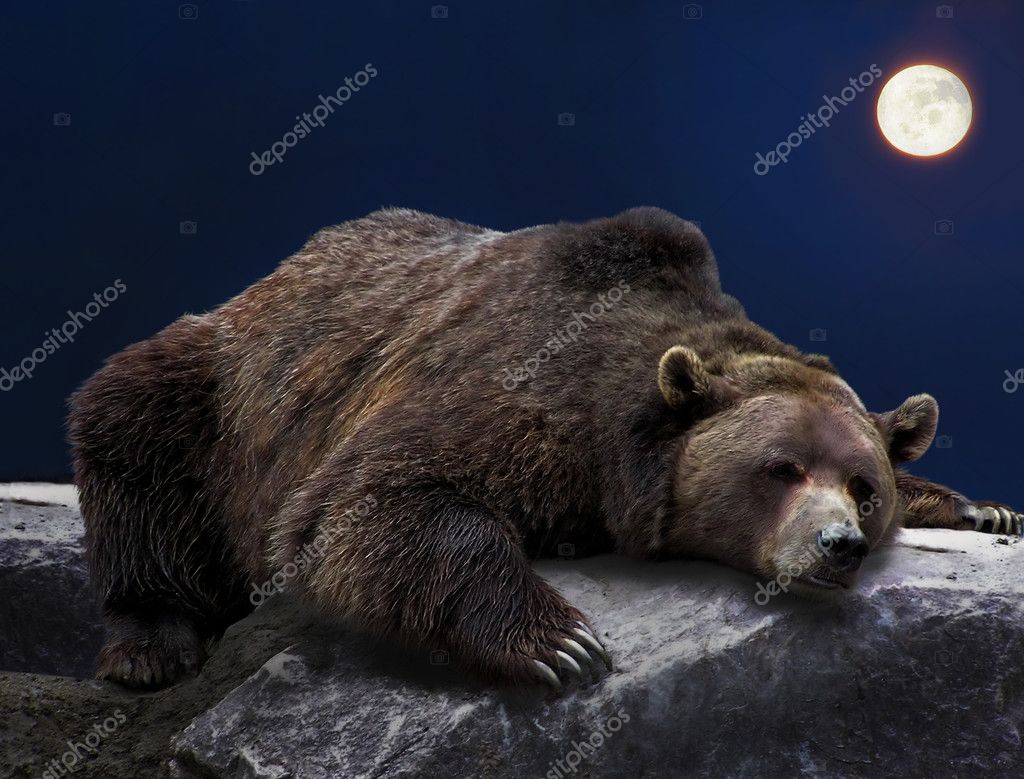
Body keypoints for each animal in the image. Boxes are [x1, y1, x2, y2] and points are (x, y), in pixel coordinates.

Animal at [68, 206, 1022, 691]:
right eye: (780, 467)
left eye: (863, 485)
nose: (838, 544)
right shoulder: (518, 386)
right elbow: (372, 498)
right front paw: (559, 642)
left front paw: (984, 506)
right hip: (224, 391)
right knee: (134, 431)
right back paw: (152, 641)